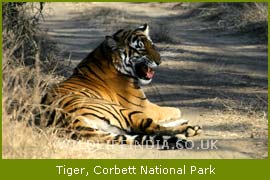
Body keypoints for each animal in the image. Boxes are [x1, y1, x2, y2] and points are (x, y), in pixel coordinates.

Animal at [39, 24, 201, 150]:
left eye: (152, 45)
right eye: (141, 49)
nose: (159, 61)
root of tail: (71, 122)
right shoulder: (143, 106)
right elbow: (171, 109)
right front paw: (178, 111)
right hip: (123, 111)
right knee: (151, 127)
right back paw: (190, 129)